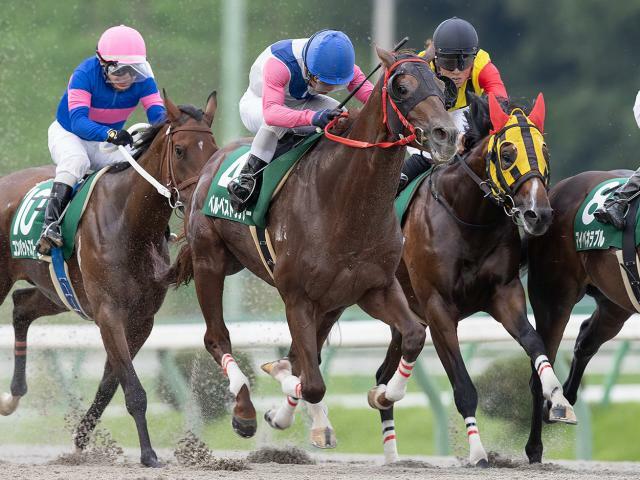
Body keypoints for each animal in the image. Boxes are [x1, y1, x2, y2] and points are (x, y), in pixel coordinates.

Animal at [0, 92, 218, 466]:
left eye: (214, 147)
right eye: (180, 150)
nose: (198, 203)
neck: (129, 221)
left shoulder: (141, 319)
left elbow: (111, 383)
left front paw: (81, 439)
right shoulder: (109, 312)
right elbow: (133, 389)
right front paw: (148, 454)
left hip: (59, 292)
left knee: (21, 305)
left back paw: (13, 396)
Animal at [165, 47, 456, 448]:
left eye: (442, 88)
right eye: (402, 87)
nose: (448, 134)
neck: (344, 202)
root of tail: (213, 162)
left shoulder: (374, 288)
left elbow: (412, 336)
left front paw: (385, 394)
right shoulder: (297, 297)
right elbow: (312, 380)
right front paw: (284, 386)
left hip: (321, 297)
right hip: (210, 260)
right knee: (216, 337)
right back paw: (245, 411)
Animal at [370, 92, 576, 466]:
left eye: (546, 153)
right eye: (507, 154)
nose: (538, 214)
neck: (467, 217)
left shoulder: (505, 294)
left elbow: (535, 343)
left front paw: (558, 397)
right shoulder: (438, 308)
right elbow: (463, 387)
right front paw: (478, 452)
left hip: (403, 313)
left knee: (386, 368)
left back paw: (389, 433)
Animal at [524, 170, 636, 464]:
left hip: (616, 303)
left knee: (586, 340)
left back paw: (562, 401)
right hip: (554, 299)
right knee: (540, 372)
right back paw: (535, 447)